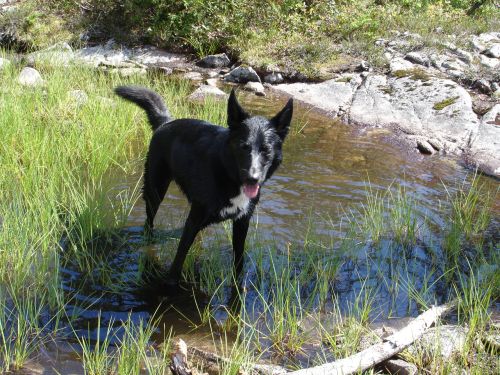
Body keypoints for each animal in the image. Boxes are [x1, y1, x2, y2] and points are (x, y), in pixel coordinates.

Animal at [114, 86, 292, 286]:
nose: (252, 179)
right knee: (148, 222)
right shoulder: (193, 221)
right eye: (243, 147)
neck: (227, 174)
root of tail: (166, 122)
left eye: (266, 150)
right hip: (155, 191)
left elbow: (238, 260)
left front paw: (238, 284)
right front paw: (169, 285)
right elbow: (178, 260)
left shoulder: (242, 222)